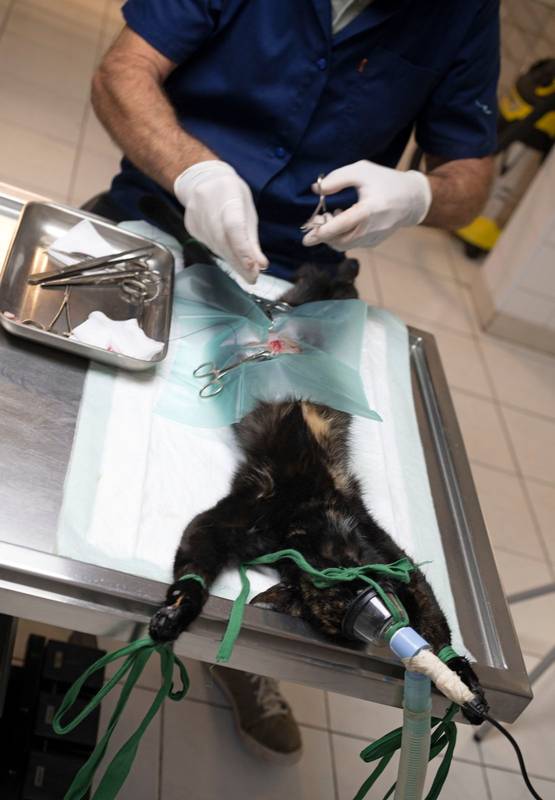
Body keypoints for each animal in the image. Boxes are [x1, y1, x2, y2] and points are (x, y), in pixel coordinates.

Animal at [149, 258, 487, 721]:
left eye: (364, 592)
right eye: (348, 601)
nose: (389, 615)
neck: (308, 520)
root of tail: (273, 327)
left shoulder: (395, 559)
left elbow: (435, 622)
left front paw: (463, 678)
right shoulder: (234, 519)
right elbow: (196, 560)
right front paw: (178, 610)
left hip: (321, 311)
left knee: (324, 285)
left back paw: (342, 261)